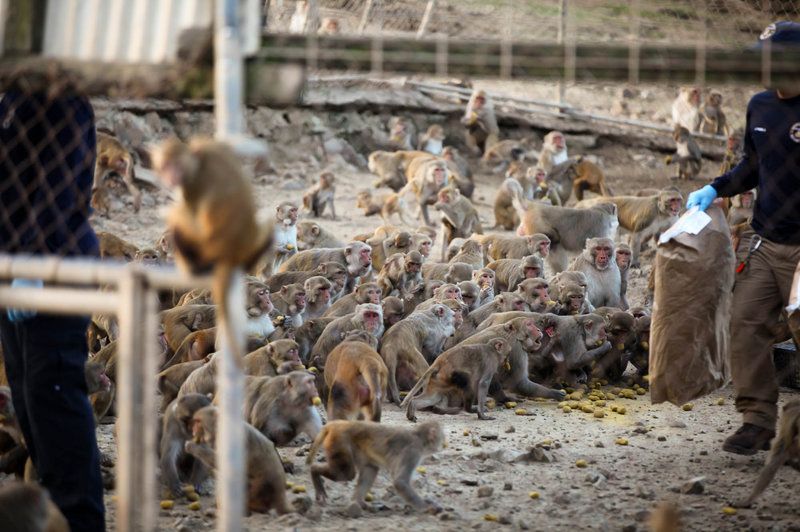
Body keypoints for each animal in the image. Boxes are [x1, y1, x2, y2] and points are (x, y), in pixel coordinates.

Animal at [306, 420, 444, 512]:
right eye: (441, 437)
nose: (442, 444)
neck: (419, 438)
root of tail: (337, 423)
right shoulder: (413, 452)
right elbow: (400, 482)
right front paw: (426, 507)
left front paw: (429, 502)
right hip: (339, 440)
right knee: (346, 474)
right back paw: (314, 471)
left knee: (370, 468)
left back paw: (358, 502)